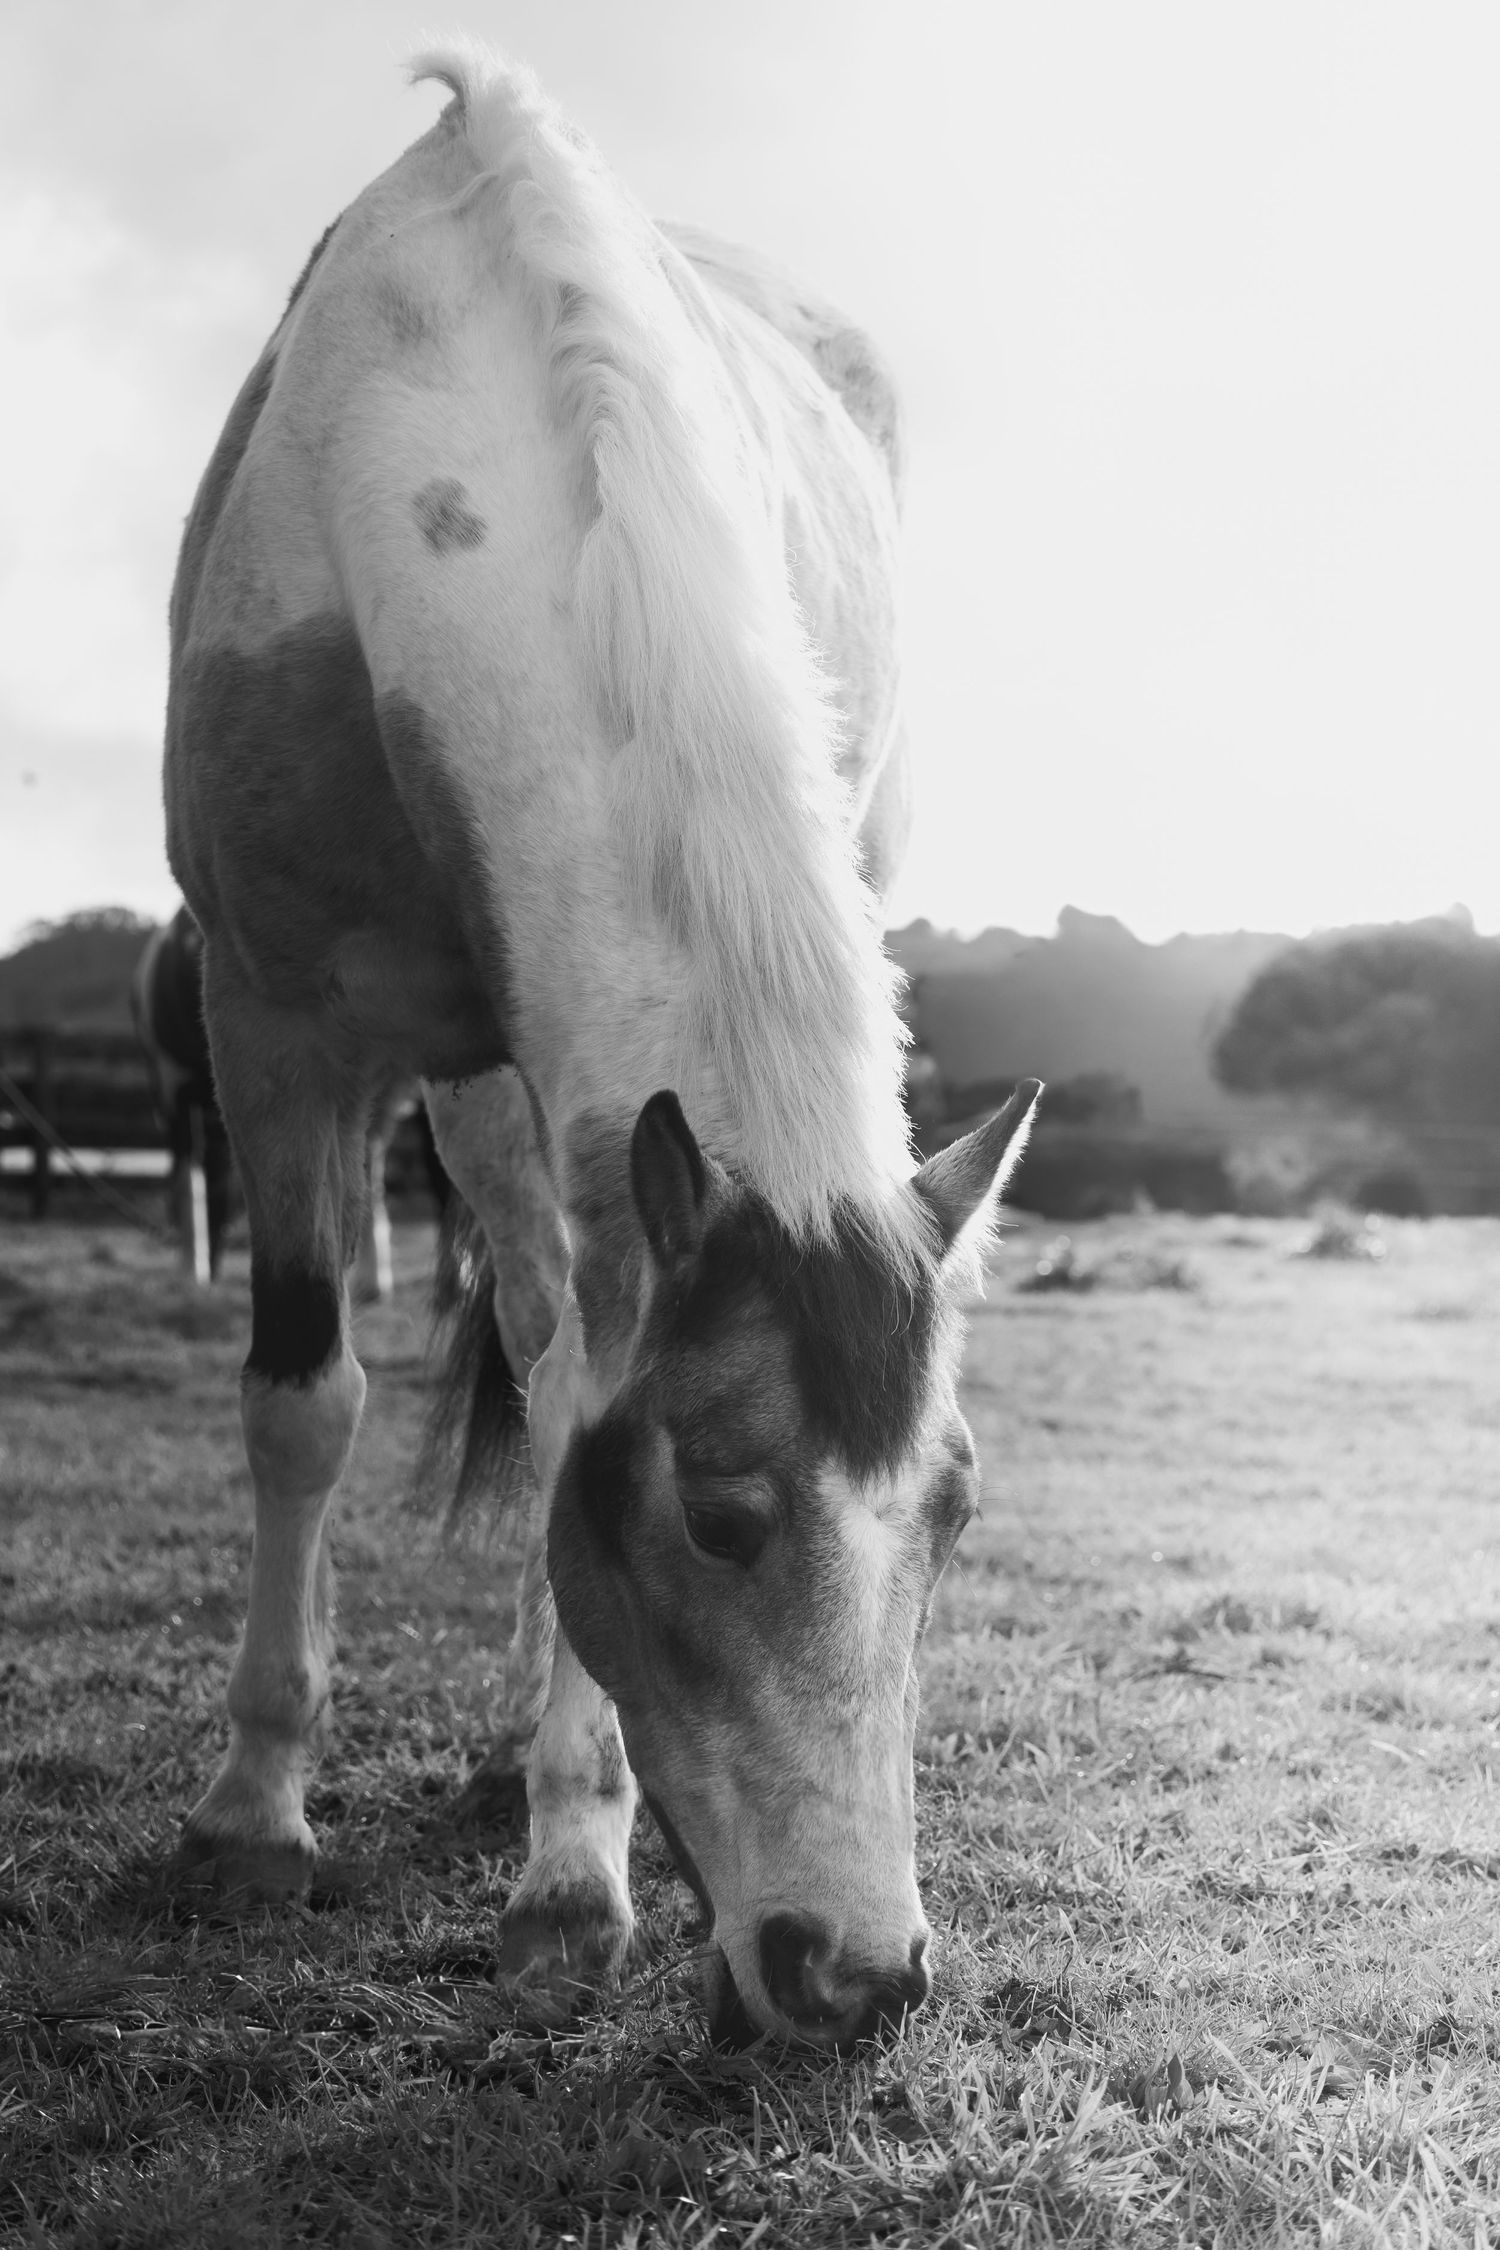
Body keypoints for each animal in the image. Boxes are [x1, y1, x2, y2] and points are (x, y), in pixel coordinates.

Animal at [163, 42, 1040, 2051]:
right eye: (716, 1513)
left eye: (954, 1514)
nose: (865, 1976)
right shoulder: (273, 1020)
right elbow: (302, 1399)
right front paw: (255, 1812)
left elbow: (573, 1391)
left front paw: (574, 1864)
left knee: (561, 1331)